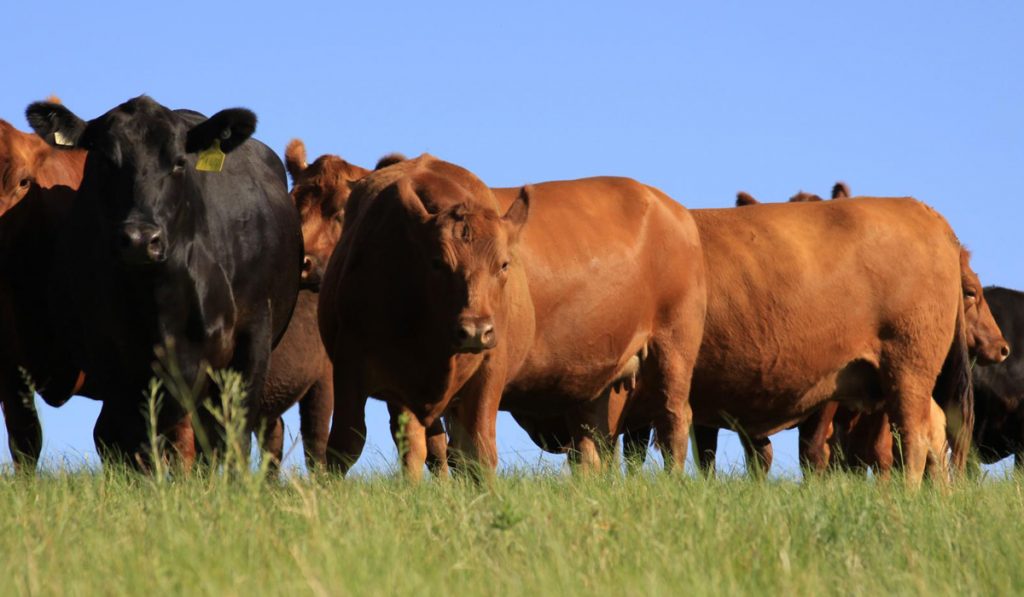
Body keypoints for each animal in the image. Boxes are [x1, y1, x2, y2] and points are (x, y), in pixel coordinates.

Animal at [25, 95, 301, 466]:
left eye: (179, 163)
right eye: (105, 161)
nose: (140, 239)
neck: (160, 302)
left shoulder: (251, 337)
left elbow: (231, 436)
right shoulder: (114, 359)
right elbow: (132, 441)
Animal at [323, 156, 708, 479]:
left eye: (504, 264)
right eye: (437, 263)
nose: (475, 330)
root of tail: (671, 209)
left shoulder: (489, 368)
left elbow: (477, 452)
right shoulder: (355, 368)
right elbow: (350, 447)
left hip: (674, 347)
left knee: (673, 421)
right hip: (593, 377)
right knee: (591, 444)